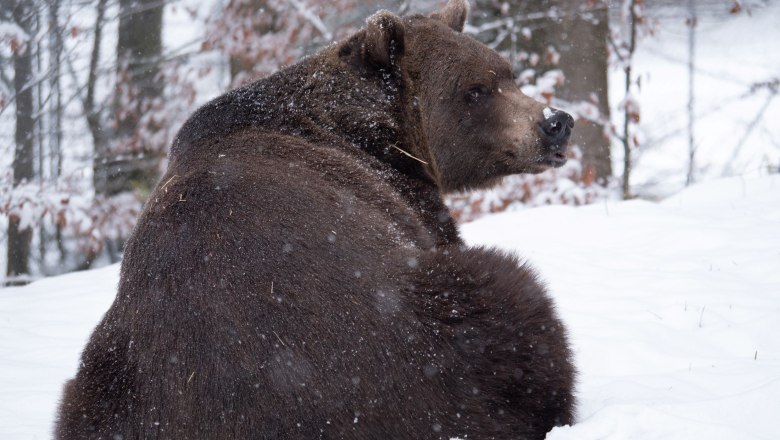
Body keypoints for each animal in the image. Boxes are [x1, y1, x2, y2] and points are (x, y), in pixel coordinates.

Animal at [58, 1, 576, 438]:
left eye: (508, 74)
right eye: (475, 90)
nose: (556, 121)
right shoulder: (408, 201)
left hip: (109, 383)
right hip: (429, 335)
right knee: (513, 300)